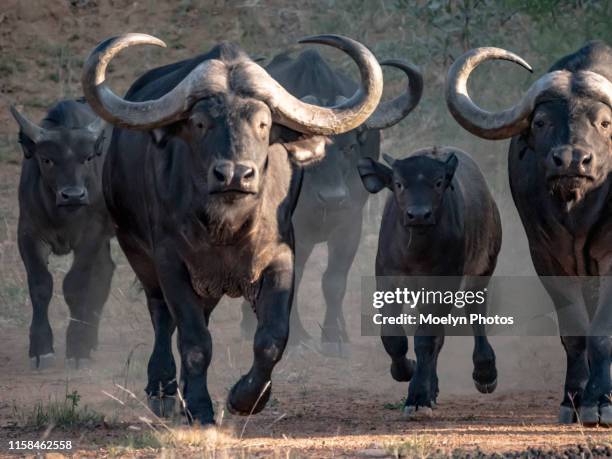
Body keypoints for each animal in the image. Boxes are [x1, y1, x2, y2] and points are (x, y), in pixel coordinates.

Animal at [79, 31, 380, 424]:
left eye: (263, 124)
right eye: (200, 123)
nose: (235, 174)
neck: (228, 225)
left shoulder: (281, 255)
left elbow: (272, 338)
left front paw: (245, 398)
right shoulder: (170, 262)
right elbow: (194, 342)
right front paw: (199, 407)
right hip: (137, 251)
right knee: (162, 318)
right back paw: (162, 389)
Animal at [240, 49, 426, 356]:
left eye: (349, 147)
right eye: (307, 148)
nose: (334, 197)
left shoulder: (351, 224)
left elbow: (334, 281)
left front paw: (334, 336)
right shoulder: (294, 231)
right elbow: (293, 277)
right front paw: (297, 337)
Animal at [444, 42, 612, 428]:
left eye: (604, 122)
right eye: (541, 121)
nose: (571, 160)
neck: (576, 211)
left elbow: (602, 331)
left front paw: (601, 403)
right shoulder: (547, 258)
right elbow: (575, 331)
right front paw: (574, 400)